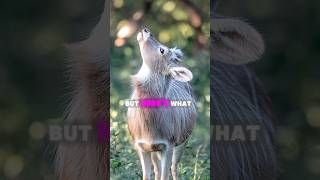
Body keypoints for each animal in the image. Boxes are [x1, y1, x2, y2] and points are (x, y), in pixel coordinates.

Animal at [127, 28, 198, 180]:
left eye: (162, 50)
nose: (146, 30)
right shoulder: (140, 144)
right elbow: (146, 176)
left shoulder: (169, 142)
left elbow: (166, 174)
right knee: (157, 169)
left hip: (184, 139)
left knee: (174, 167)